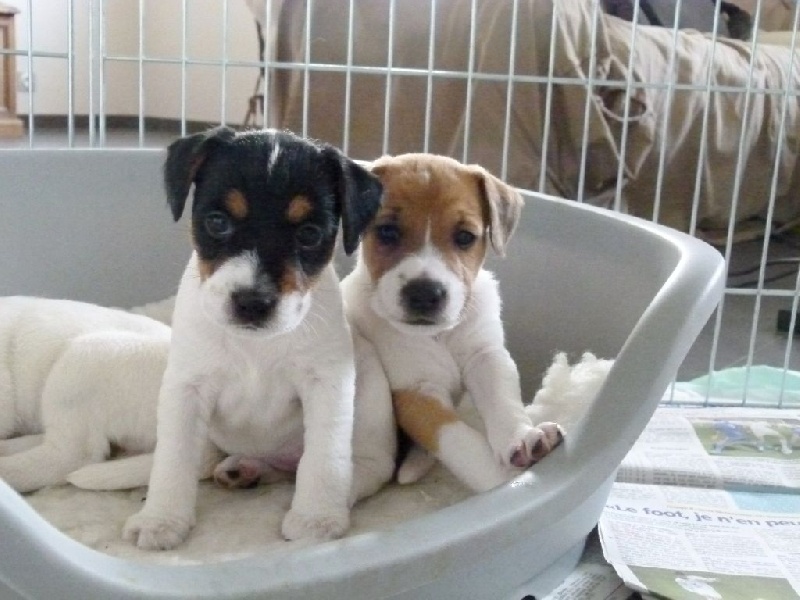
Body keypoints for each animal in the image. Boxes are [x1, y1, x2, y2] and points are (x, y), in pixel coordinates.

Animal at [122, 126, 395, 550]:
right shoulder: (186, 387)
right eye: (217, 222)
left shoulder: (327, 382)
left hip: (371, 404)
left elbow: (325, 456)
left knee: (366, 467)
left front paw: (316, 517)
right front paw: (161, 519)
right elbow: (174, 457)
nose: (252, 302)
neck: (257, 346)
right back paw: (243, 468)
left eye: (310, 233)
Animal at [341, 153, 563, 492]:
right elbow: (461, 444)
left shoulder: (486, 358)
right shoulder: (417, 392)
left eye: (464, 237)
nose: (424, 293)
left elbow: (504, 403)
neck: (439, 335)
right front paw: (504, 482)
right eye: (387, 232)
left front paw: (523, 439)